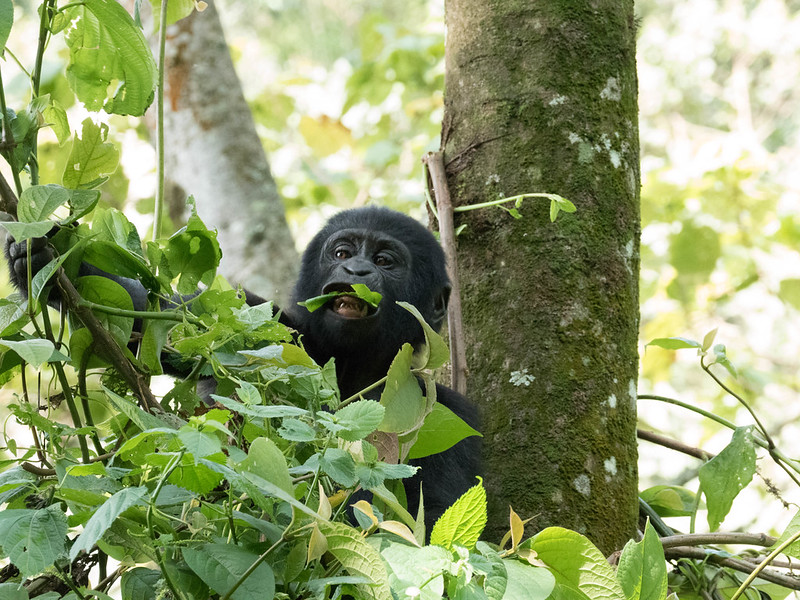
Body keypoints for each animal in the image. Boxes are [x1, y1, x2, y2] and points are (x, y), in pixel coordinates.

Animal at [4, 205, 482, 528]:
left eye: (384, 261)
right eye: (342, 252)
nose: (357, 269)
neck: (352, 369)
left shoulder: (450, 414)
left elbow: (431, 518)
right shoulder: (274, 330)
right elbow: (160, 317)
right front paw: (44, 252)